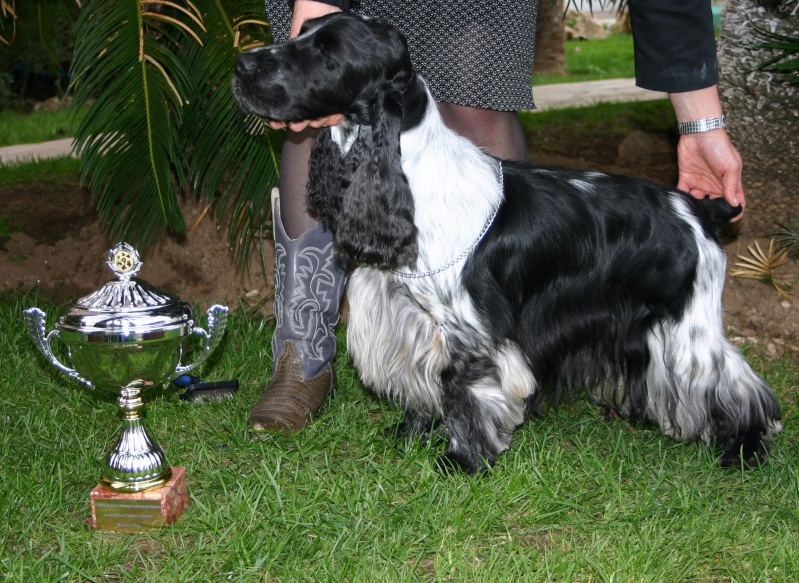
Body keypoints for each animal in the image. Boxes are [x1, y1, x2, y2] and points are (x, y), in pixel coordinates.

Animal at [233, 12, 781, 473]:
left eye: (327, 53)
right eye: (301, 32)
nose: (242, 63)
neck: (407, 175)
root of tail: (699, 208)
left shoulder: (470, 332)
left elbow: (466, 391)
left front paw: (461, 460)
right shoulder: (409, 318)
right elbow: (422, 386)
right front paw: (409, 434)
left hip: (688, 326)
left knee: (735, 383)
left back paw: (745, 448)